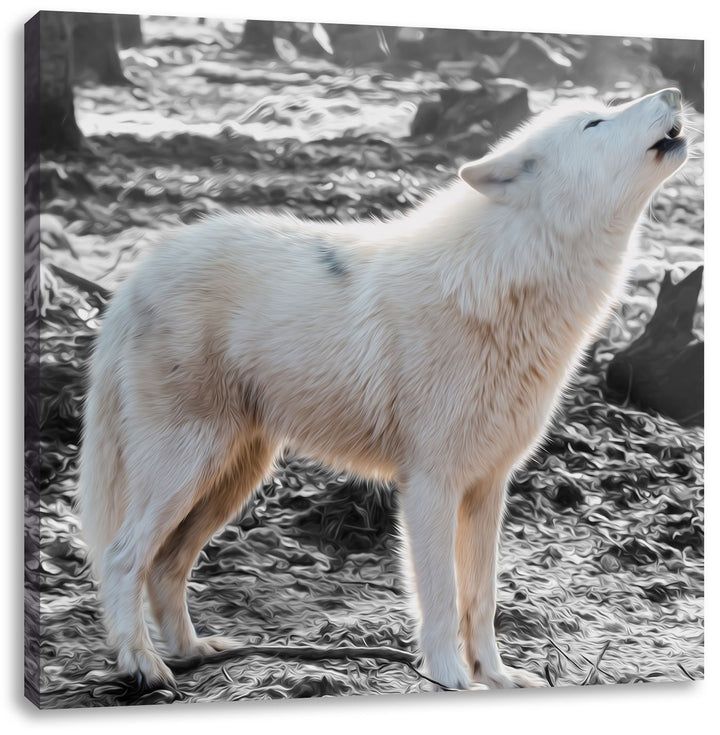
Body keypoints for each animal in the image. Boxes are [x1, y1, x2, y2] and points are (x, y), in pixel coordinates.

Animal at [79, 88, 689, 691]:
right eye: (595, 123)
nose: (674, 93)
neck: (506, 280)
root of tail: (136, 276)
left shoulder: (488, 487)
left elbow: (482, 599)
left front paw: (496, 676)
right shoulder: (429, 485)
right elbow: (441, 599)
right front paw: (450, 679)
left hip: (233, 478)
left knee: (166, 566)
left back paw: (192, 652)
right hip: (187, 470)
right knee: (122, 556)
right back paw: (143, 665)